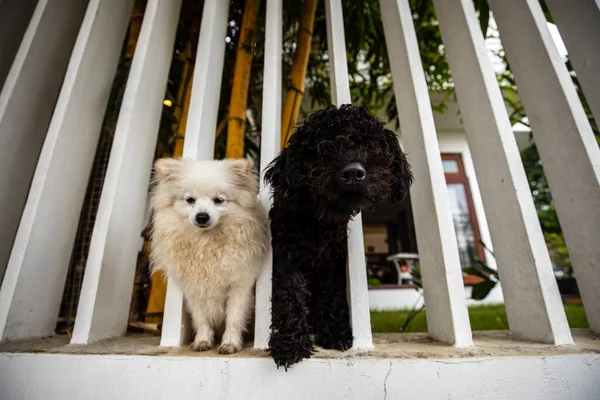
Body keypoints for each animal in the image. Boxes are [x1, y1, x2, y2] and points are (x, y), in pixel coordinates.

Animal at [151, 158, 268, 354]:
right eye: (190, 200)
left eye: (218, 200)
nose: (202, 216)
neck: (206, 242)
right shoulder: (195, 290)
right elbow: (202, 319)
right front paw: (202, 341)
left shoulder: (239, 286)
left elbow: (233, 319)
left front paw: (230, 343)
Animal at [264, 104, 414, 368]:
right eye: (322, 145)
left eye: (371, 144)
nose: (353, 172)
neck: (319, 220)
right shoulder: (286, 256)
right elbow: (289, 295)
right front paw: (289, 344)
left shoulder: (332, 263)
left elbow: (331, 295)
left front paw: (335, 334)